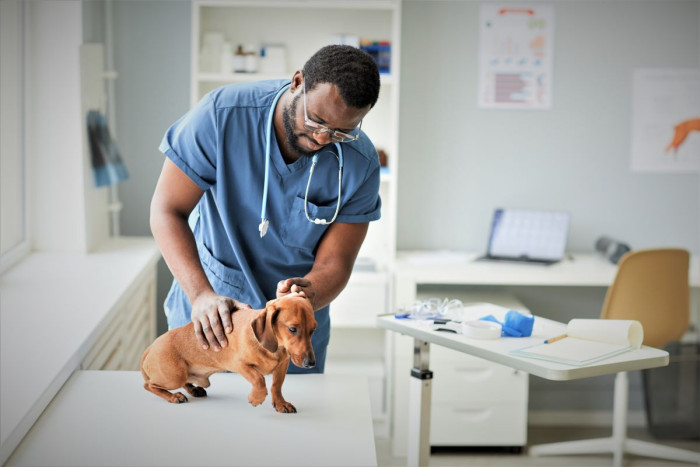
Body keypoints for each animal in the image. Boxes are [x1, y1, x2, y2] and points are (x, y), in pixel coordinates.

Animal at [141, 292, 316, 414]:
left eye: (313, 329)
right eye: (292, 329)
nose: (311, 363)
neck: (273, 347)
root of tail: (150, 348)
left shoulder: (282, 365)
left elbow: (276, 385)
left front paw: (280, 403)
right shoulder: (238, 364)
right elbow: (258, 379)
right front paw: (256, 398)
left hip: (181, 375)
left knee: (183, 382)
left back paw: (194, 389)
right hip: (175, 376)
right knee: (149, 385)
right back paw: (173, 396)